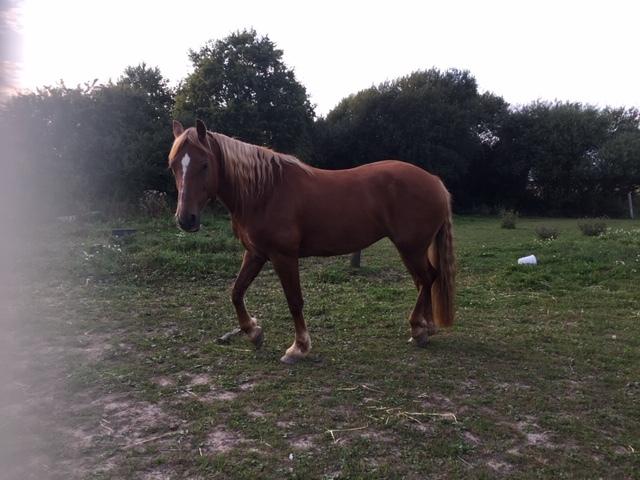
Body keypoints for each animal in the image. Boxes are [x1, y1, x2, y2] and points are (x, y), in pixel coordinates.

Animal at [168, 120, 452, 364]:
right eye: (173, 165)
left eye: (204, 164)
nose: (185, 219)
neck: (264, 191)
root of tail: (435, 180)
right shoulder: (255, 254)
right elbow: (236, 292)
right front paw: (253, 332)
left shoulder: (283, 256)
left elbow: (294, 300)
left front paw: (299, 348)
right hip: (413, 249)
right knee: (426, 280)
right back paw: (426, 327)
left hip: (410, 248)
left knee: (427, 279)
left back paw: (418, 330)